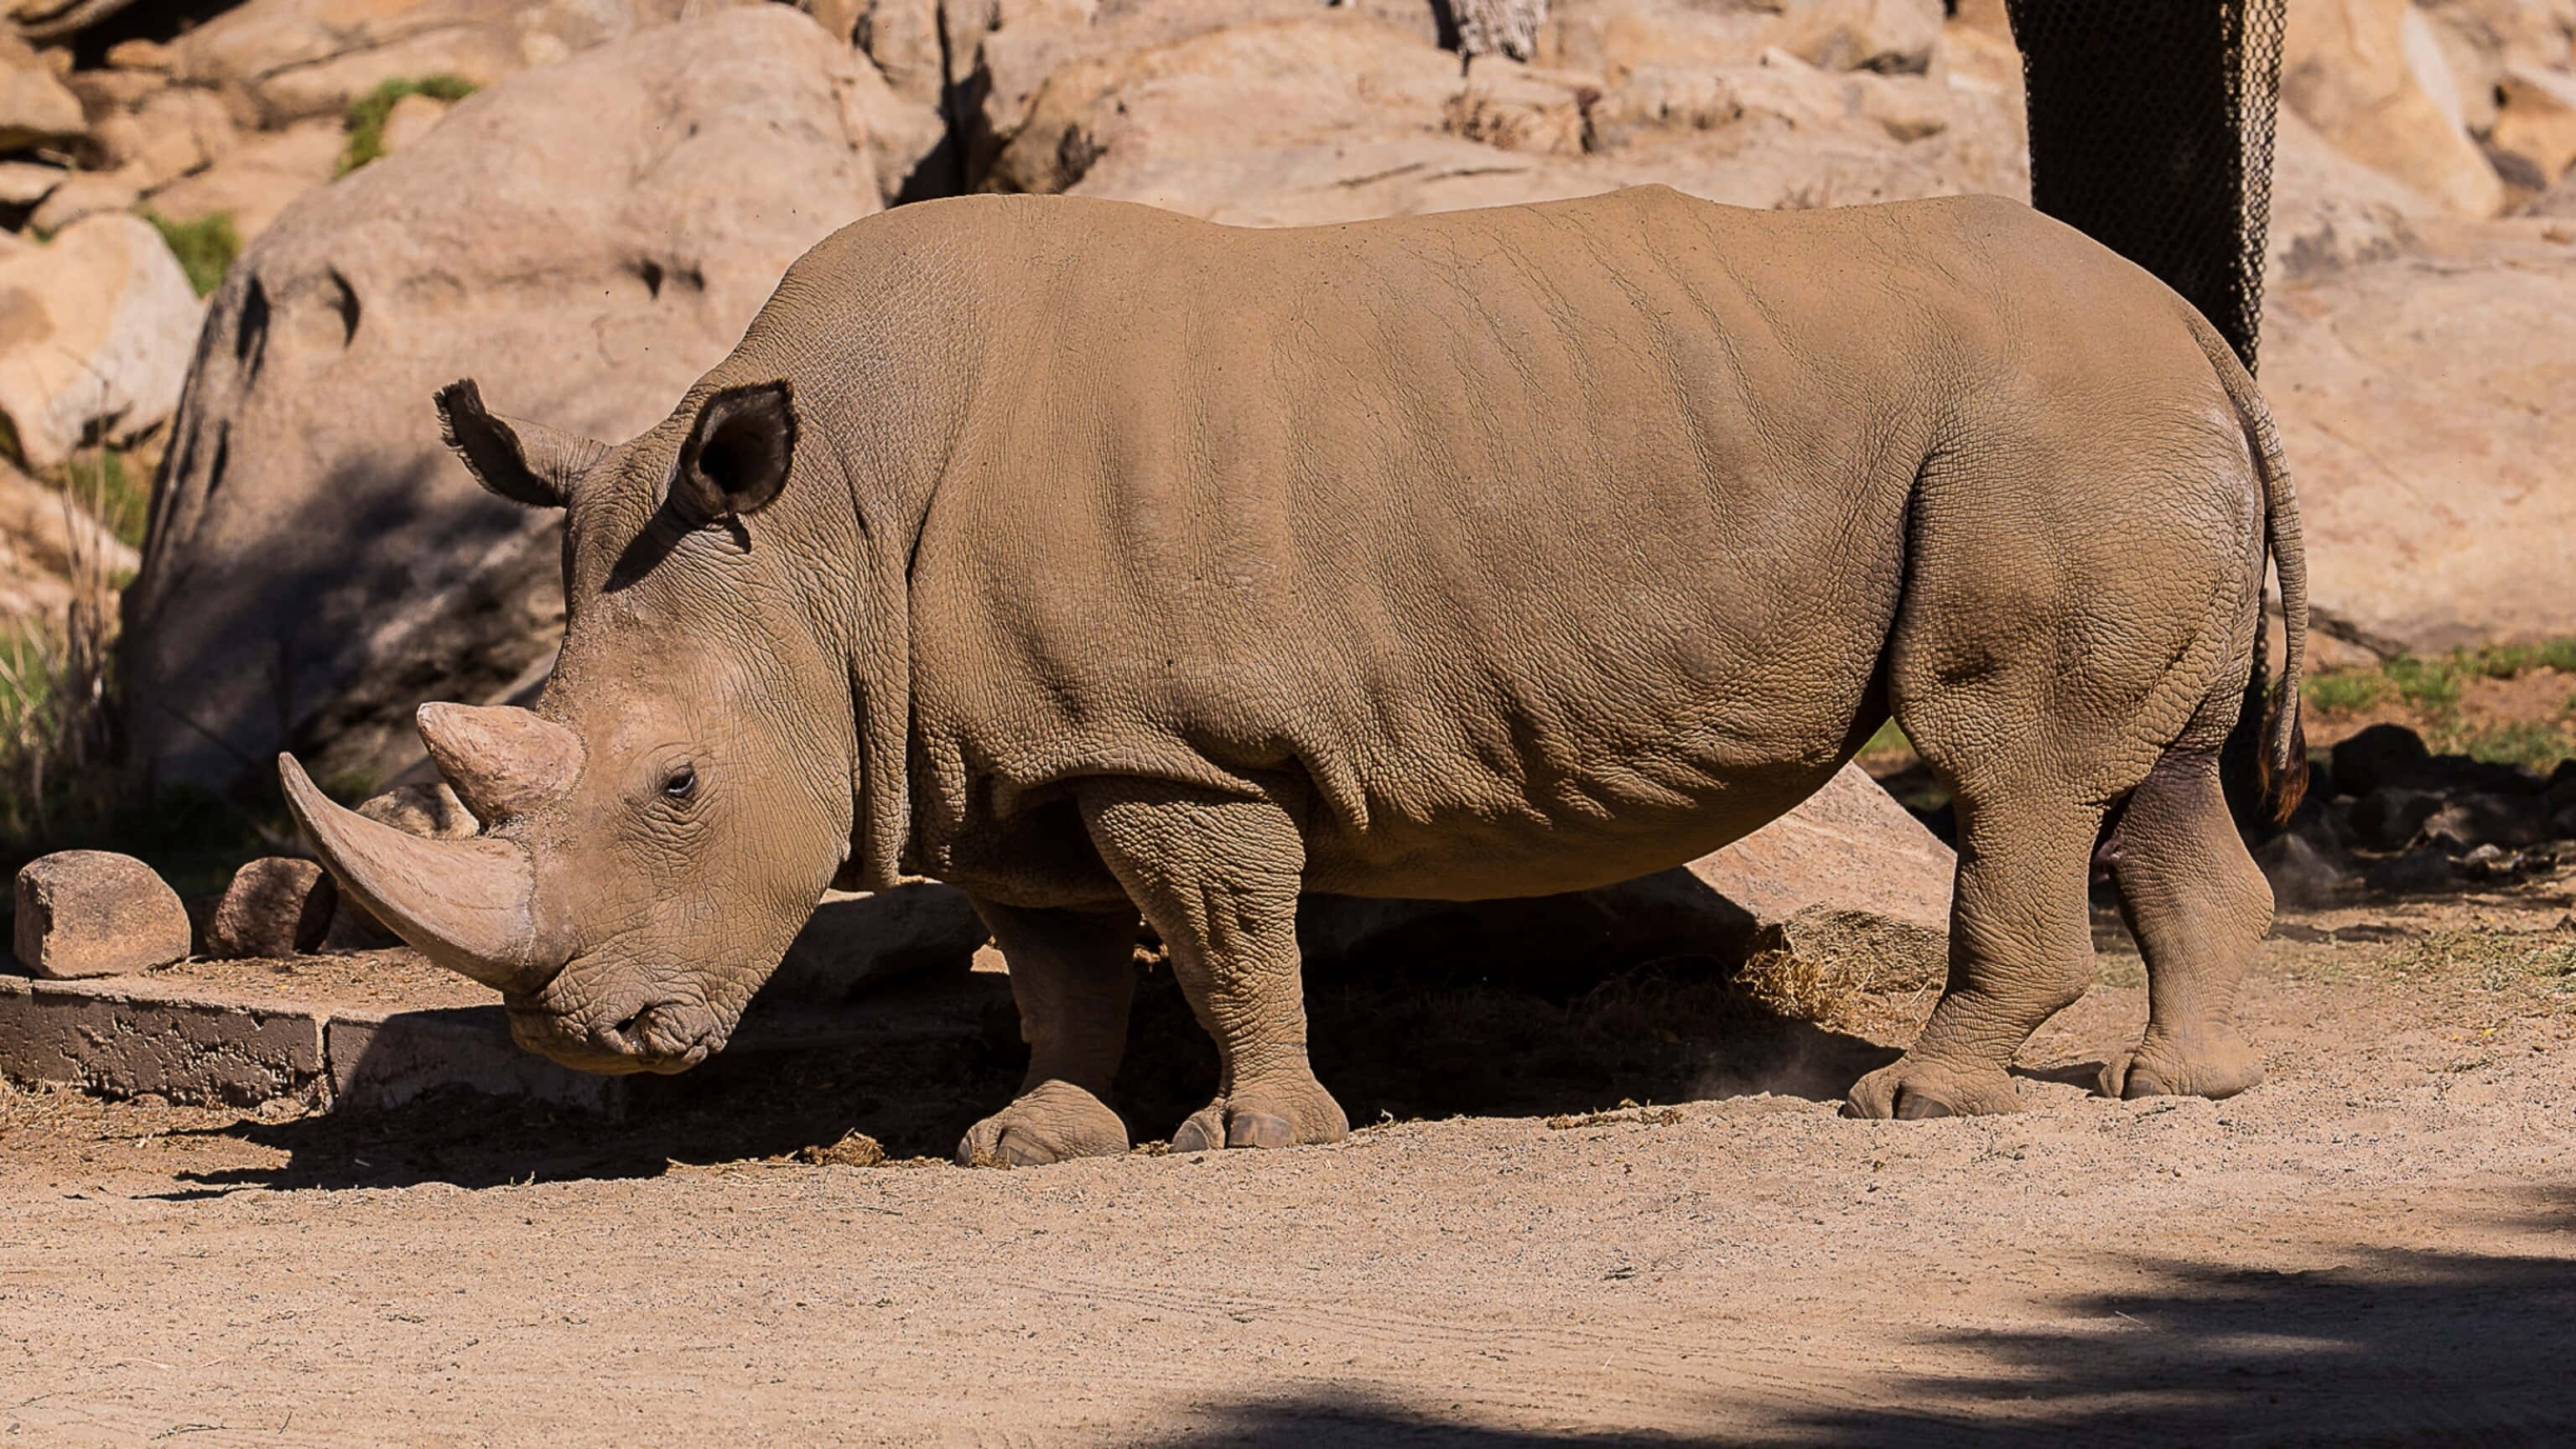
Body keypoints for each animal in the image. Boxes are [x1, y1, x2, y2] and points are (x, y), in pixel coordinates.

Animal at [281, 186, 2307, 1162]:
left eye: (681, 787)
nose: (584, 1039)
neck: (821, 541)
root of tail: (2193, 322)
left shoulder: (1167, 742)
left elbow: (1220, 929)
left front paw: (1250, 1135)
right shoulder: (1003, 752)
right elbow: (1059, 960)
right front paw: (1032, 1141)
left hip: (2050, 430)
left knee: (2017, 763)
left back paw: (1919, 1108)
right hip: (2105, 430)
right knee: (2154, 777)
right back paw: (2183, 1088)